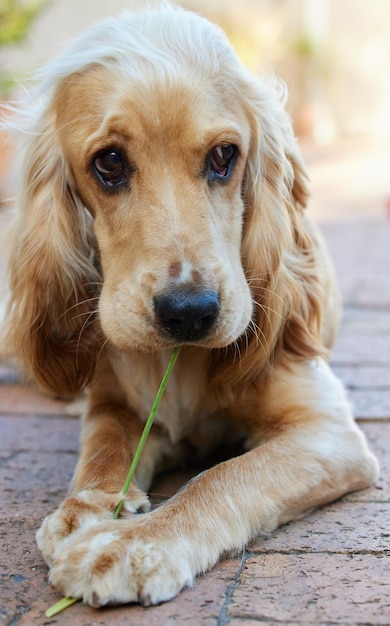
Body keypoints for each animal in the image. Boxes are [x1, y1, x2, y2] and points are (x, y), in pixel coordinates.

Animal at [3, 3, 378, 604]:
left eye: (224, 156)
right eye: (109, 163)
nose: (189, 312)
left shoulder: (328, 432)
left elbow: (224, 476)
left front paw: (130, 544)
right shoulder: (116, 400)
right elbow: (105, 443)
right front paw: (86, 507)